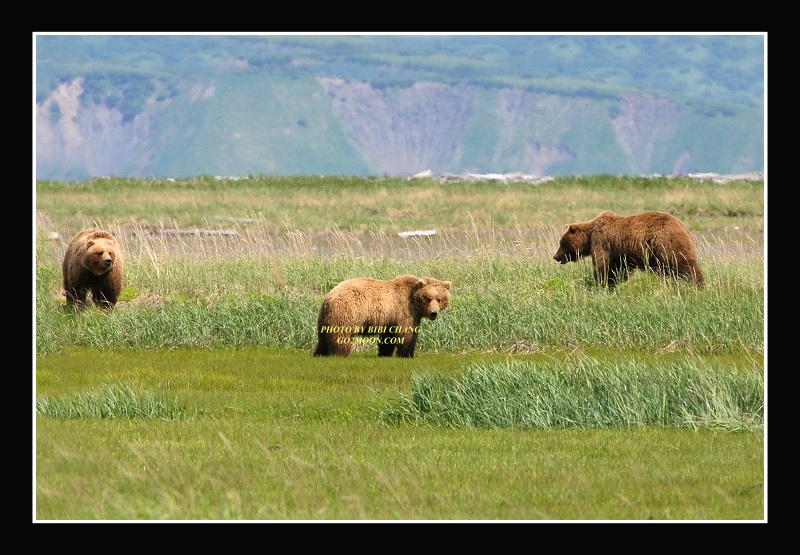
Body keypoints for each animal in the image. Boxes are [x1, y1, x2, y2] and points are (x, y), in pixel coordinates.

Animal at [314, 274, 451, 358]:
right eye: (428, 298)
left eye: (439, 299)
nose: (433, 313)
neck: (414, 301)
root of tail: (329, 297)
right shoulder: (405, 311)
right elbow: (407, 334)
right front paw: (407, 354)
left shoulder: (391, 318)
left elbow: (388, 337)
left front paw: (384, 353)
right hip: (347, 311)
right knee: (341, 335)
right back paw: (340, 354)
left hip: (325, 317)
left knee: (323, 338)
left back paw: (320, 354)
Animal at [553, 211, 704, 287]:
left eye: (562, 243)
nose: (555, 256)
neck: (589, 238)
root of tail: (684, 228)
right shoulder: (620, 253)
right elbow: (619, 269)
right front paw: (613, 283)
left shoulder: (602, 242)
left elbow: (603, 266)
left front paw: (600, 283)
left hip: (666, 244)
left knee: (685, 265)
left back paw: (697, 283)